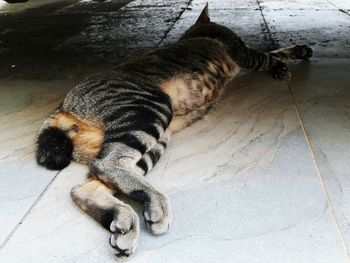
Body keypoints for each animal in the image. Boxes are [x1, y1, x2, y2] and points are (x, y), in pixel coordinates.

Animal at [35, 4, 314, 260]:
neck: (197, 30)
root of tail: (63, 107)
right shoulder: (242, 52)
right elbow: (268, 55)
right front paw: (282, 65)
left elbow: (277, 51)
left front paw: (299, 50)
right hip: (149, 109)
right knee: (107, 164)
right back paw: (157, 204)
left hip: (155, 141)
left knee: (87, 186)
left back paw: (125, 221)